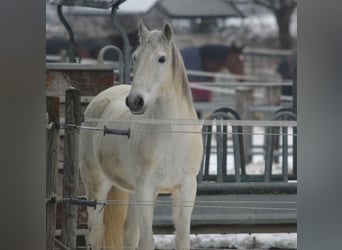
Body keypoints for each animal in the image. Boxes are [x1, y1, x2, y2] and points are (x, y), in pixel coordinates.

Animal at [80, 22, 203, 250]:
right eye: (136, 57)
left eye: (162, 58)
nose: (135, 101)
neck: (173, 135)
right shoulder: (146, 190)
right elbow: (147, 241)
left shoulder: (185, 189)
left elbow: (182, 238)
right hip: (97, 185)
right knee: (96, 232)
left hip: (131, 191)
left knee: (128, 235)